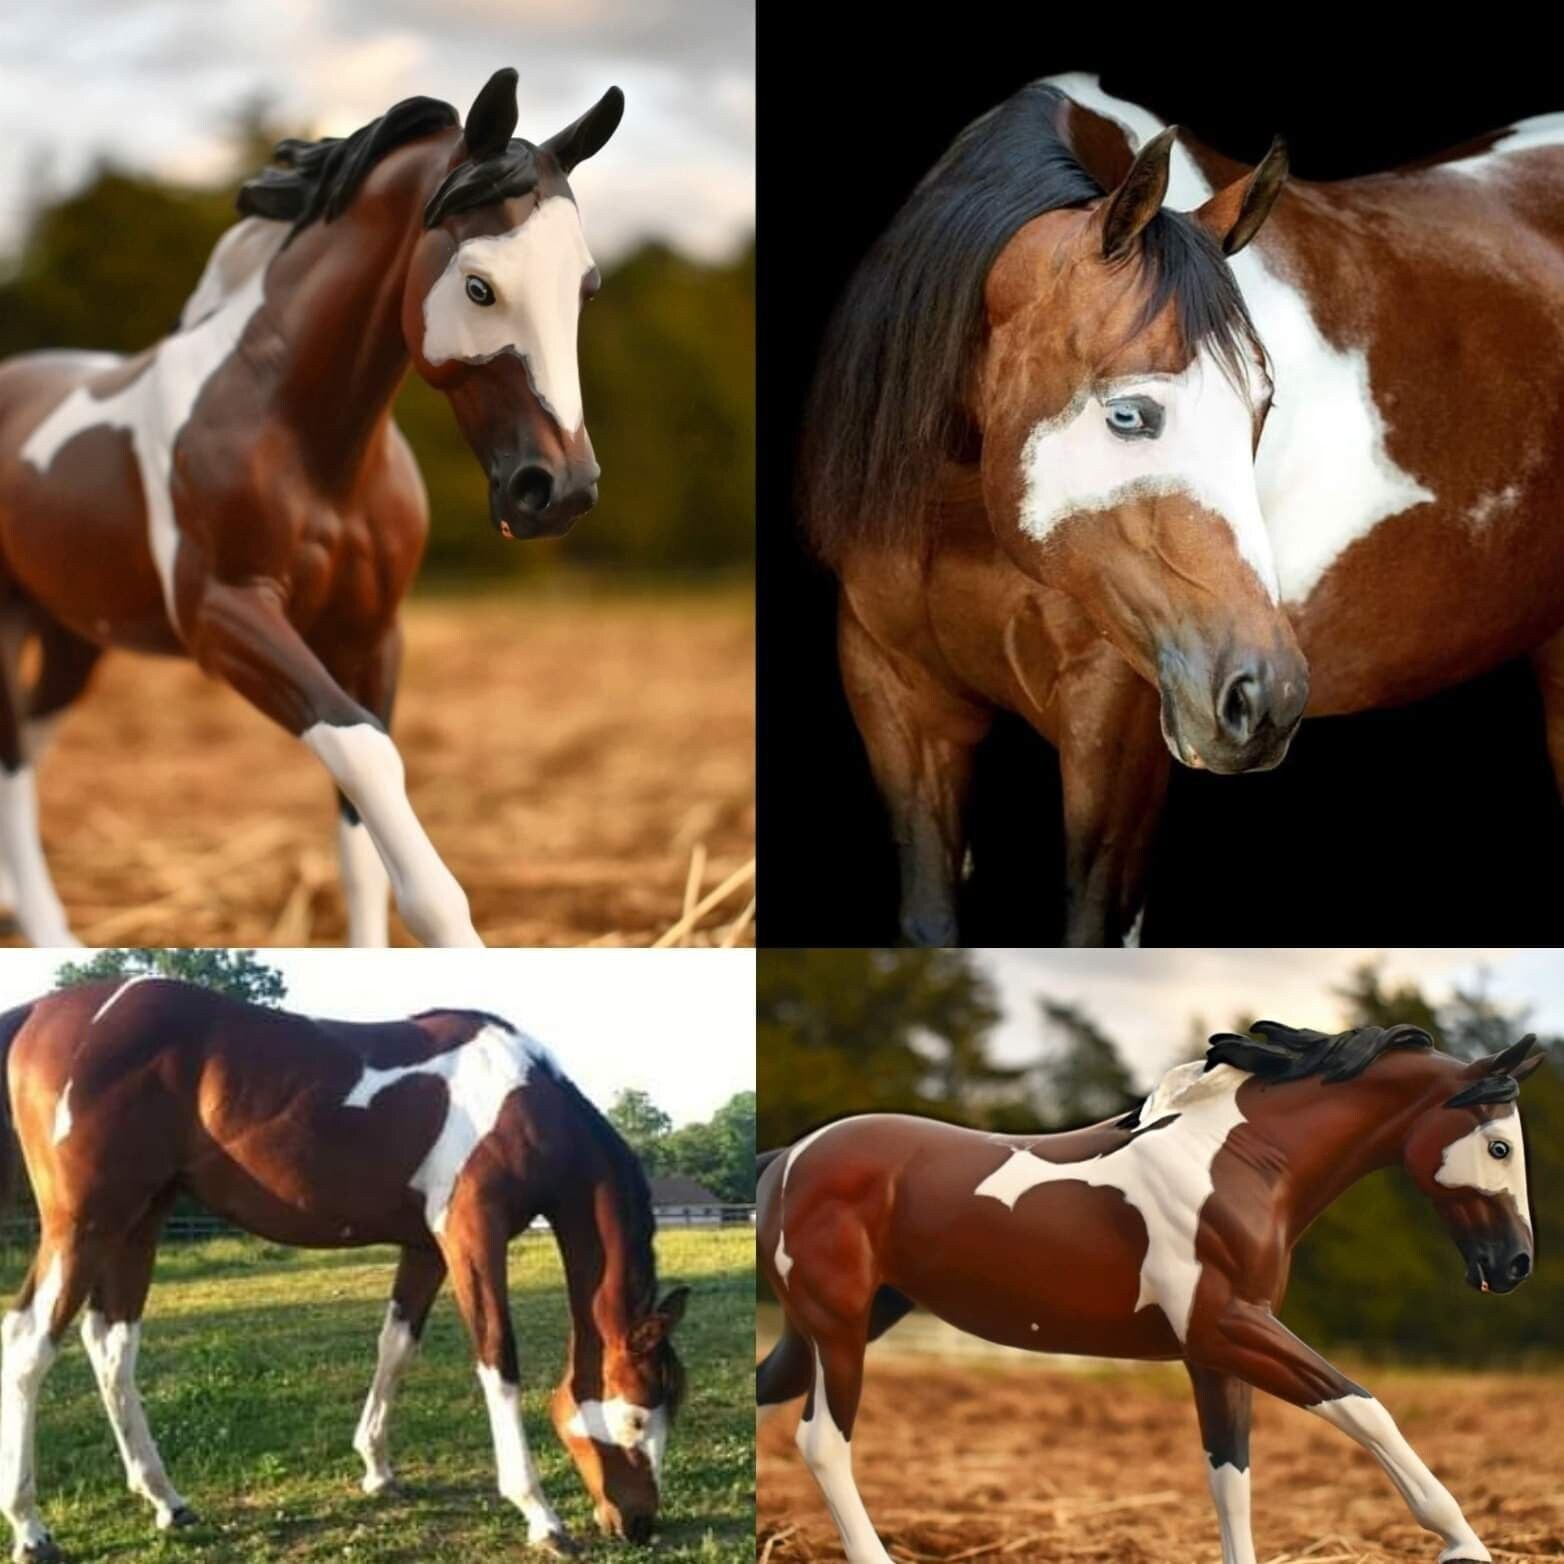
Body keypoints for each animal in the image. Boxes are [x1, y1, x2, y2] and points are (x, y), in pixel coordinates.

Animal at [0, 67, 624, 948]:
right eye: (480, 286)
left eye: (585, 287)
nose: (560, 490)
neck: (304, 438)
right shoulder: (224, 619)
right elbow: (366, 757)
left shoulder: (367, 634)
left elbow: (361, 836)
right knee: (14, 764)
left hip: (71, 638)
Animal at [0, 976, 690, 1562]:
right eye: (636, 1416)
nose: (638, 1524)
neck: (520, 1098)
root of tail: (47, 1010)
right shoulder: (472, 1235)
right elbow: (498, 1359)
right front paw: (541, 1516)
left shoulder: (426, 1248)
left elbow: (397, 1346)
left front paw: (377, 1469)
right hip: (83, 1223)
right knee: (30, 1343)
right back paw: (32, 1528)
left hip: (139, 1219)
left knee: (111, 1346)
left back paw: (166, 1501)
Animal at [757, 1022, 1544, 1564]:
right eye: (1499, 1146)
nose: (1515, 1264)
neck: (1238, 1163)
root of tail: (789, 1158)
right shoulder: (1226, 1325)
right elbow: (1363, 1406)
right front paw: (1464, 1543)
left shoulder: (1214, 1354)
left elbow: (1231, 1476)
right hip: (840, 1328)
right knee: (823, 1442)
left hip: (837, 1325)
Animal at [802, 73, 1564, 946]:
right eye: (1129, 413)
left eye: (1263, 407)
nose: (1267, 697)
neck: (961, 523)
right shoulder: (901, 705)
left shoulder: (1119, 733)